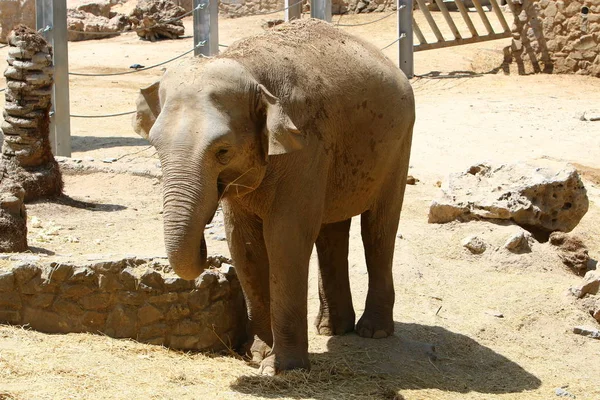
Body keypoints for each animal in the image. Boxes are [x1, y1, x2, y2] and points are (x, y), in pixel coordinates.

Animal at [133, 18, 414, 376]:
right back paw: (332, 329)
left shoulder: (304, 145)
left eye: (223, 151)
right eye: (155, 146)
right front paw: (257, 355)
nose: (203, 244)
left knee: (378, 229)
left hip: (399, 143)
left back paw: (372, 331)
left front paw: (281, 368)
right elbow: (244, 244)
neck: (249, 68)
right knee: (332, 230)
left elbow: (285, 237)